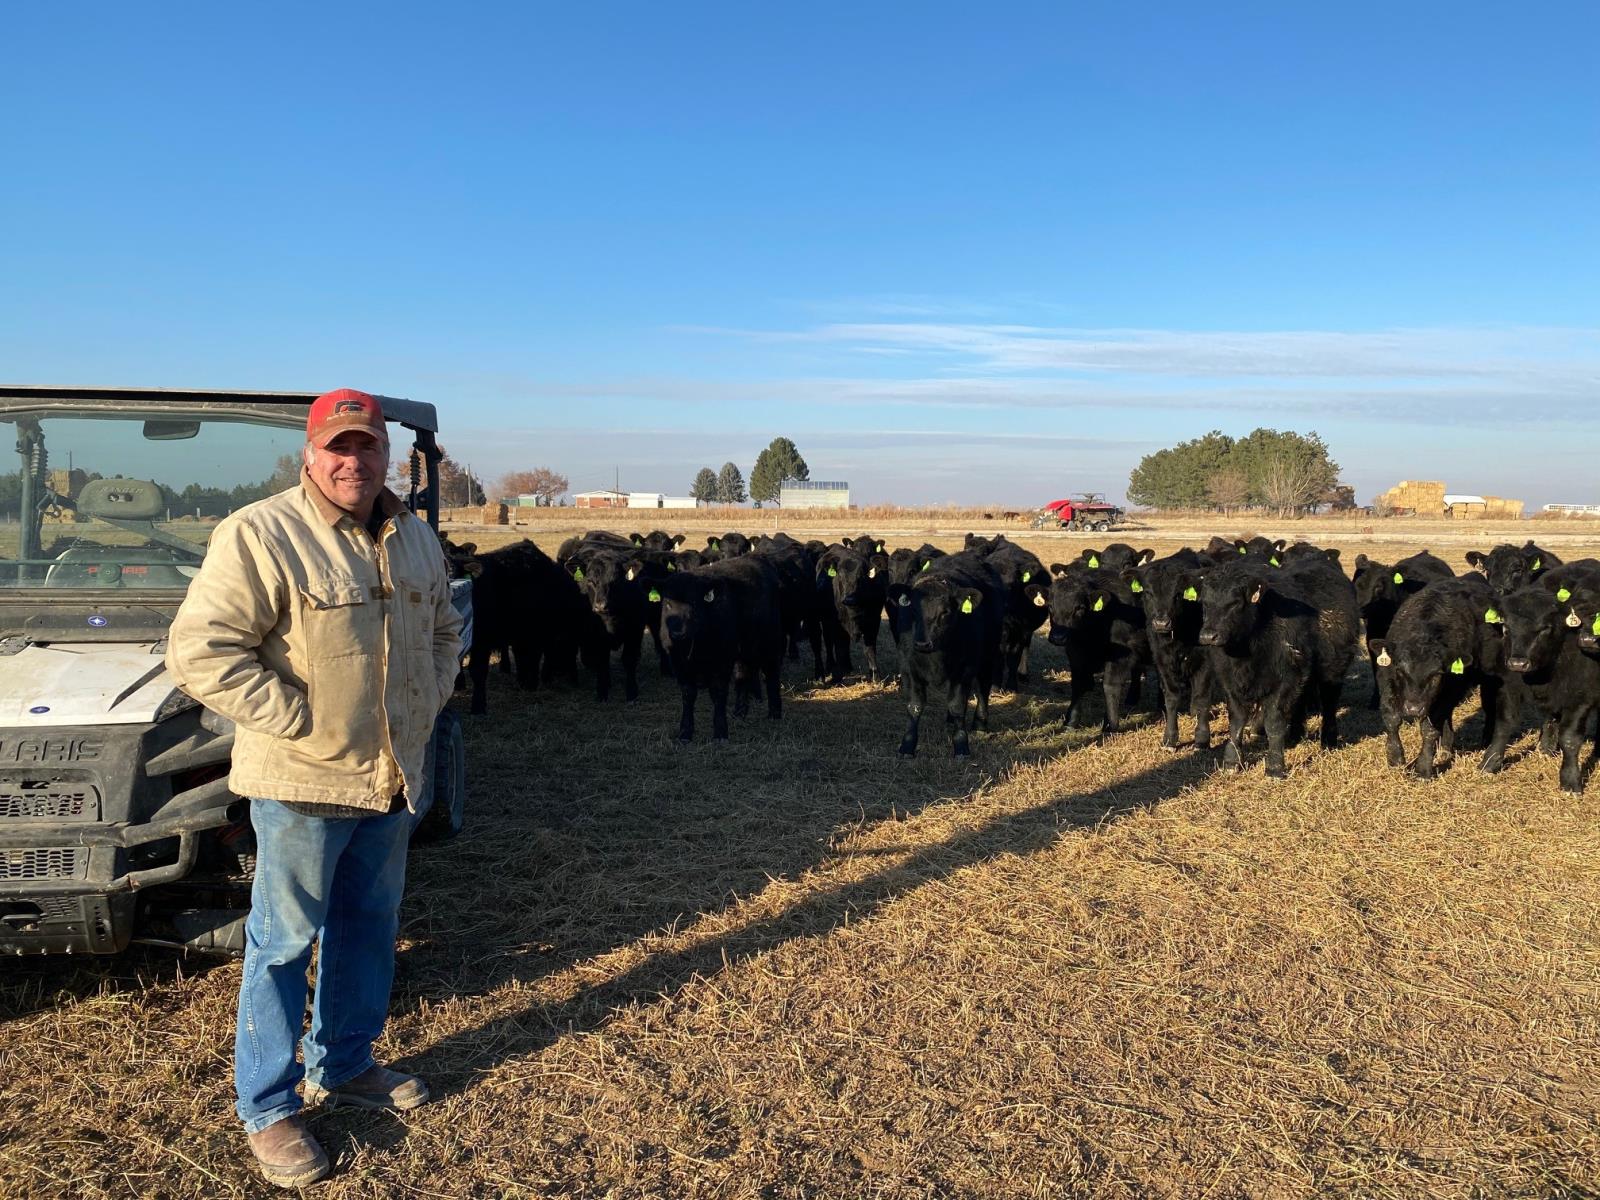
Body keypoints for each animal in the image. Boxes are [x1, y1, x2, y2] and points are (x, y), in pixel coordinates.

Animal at [656, 553, 787, 742]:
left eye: (694, 603)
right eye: (667, 603)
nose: (678, 632)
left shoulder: (722, 660)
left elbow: (718, 693)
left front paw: (720, 732)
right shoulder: (678, 664)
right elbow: (688, 695)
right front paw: (685, 733)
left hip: (769, 640)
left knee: (771, 673)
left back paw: (775, 713)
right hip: (743, 648)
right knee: (743, 674)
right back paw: (740, 712)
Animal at [889, 556, 998, 761]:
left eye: (945, 612)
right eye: (913, 610)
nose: (922, 644)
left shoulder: (965, 668)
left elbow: (957, 705)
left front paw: (961, 746)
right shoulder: (908, 667)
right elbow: (915, 706)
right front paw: (907, 745)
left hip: (990, 654)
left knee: (983, 688)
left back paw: (980, 723)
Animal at [1126, 553, 1209, 752]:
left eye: (1177, 594)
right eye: (1148, 593)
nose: (1161, 623)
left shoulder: (1205, 660)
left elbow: (1202, 697)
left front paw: (1202, 738)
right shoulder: (1162, 661)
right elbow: (1171, 697)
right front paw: (1170, 739)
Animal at [1369, 579, 1504, 780]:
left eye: (1437, 674)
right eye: (1400, 670)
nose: (1413, 709)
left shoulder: (1451, 689)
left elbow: (1429, 730)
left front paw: (1423, 768)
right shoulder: (1386, 679)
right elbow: (1392, 719)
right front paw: (1395, 758)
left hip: (1489, 681)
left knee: (1489, 709)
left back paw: (1484, 742)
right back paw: (1446, 747)